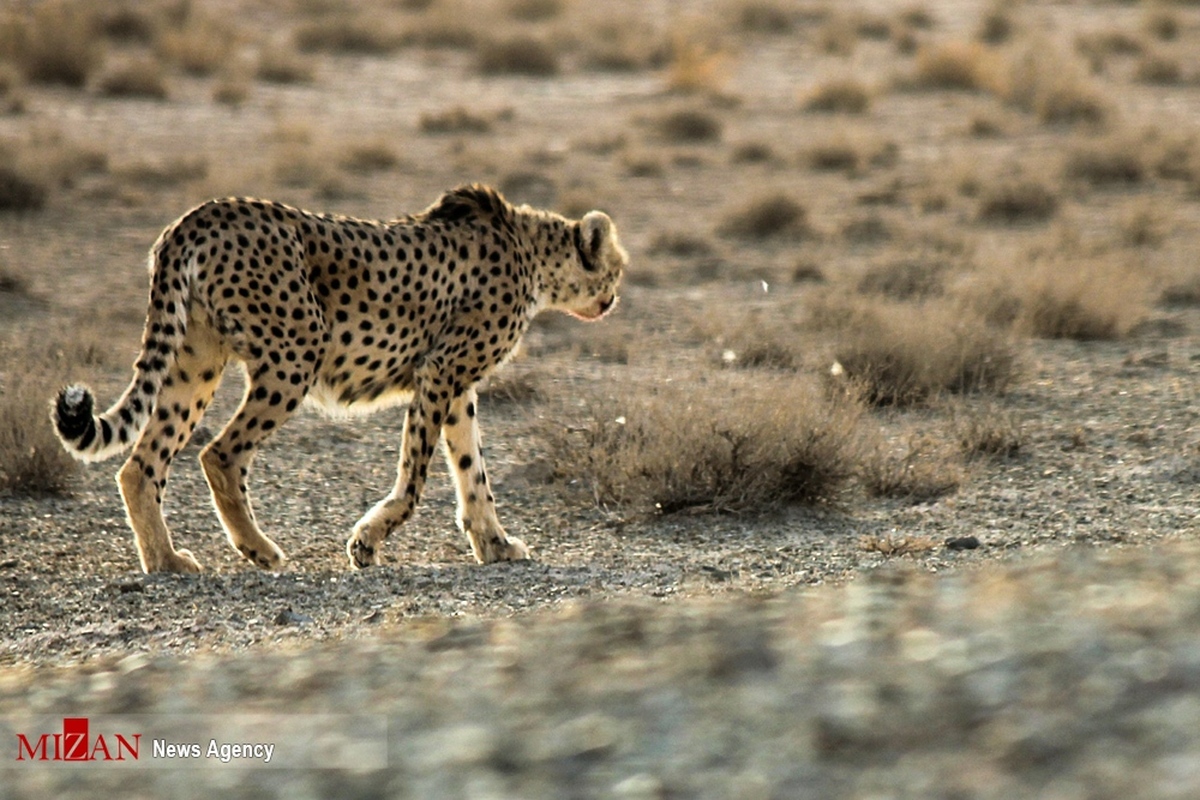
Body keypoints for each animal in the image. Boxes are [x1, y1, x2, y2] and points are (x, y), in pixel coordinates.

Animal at [49, 184, 628, 573]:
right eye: (617, 269)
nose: (614, 298)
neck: (532, 254)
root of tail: (199, 214)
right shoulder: (439, 371)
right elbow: (416, 479)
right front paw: (367, 543)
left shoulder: (457, 384)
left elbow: (472, 469)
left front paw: (495, 545)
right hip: (296, 352)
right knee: (220, 454)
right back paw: (258, 549)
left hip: (197, 359)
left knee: (141, 464)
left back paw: (165, 560)